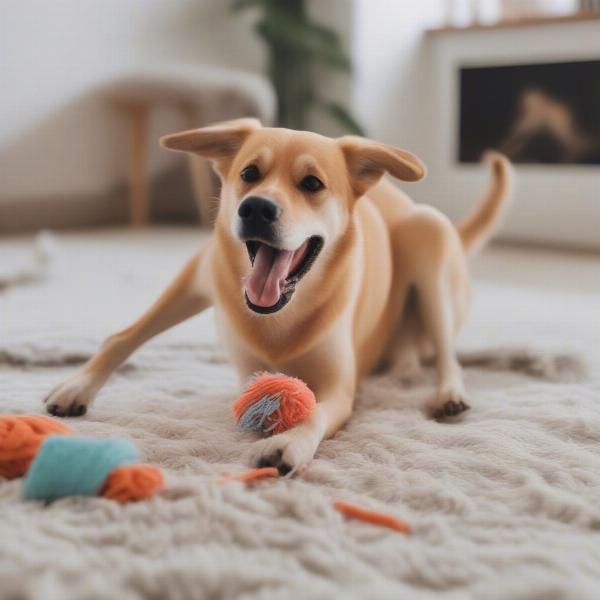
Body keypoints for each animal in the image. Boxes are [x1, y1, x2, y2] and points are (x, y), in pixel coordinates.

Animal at [44, 117, 510, 474]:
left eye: (312, 183)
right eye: (250, 173)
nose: (256, 208)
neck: (279, 315)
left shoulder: (340, 389)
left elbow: (317, 409)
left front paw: (288, 444)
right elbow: (123, 337)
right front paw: (77, 385)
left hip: (428, 235)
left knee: (447, 352)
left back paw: (446, 392)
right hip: (199, 271)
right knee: (124, 335)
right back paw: (77, 386)